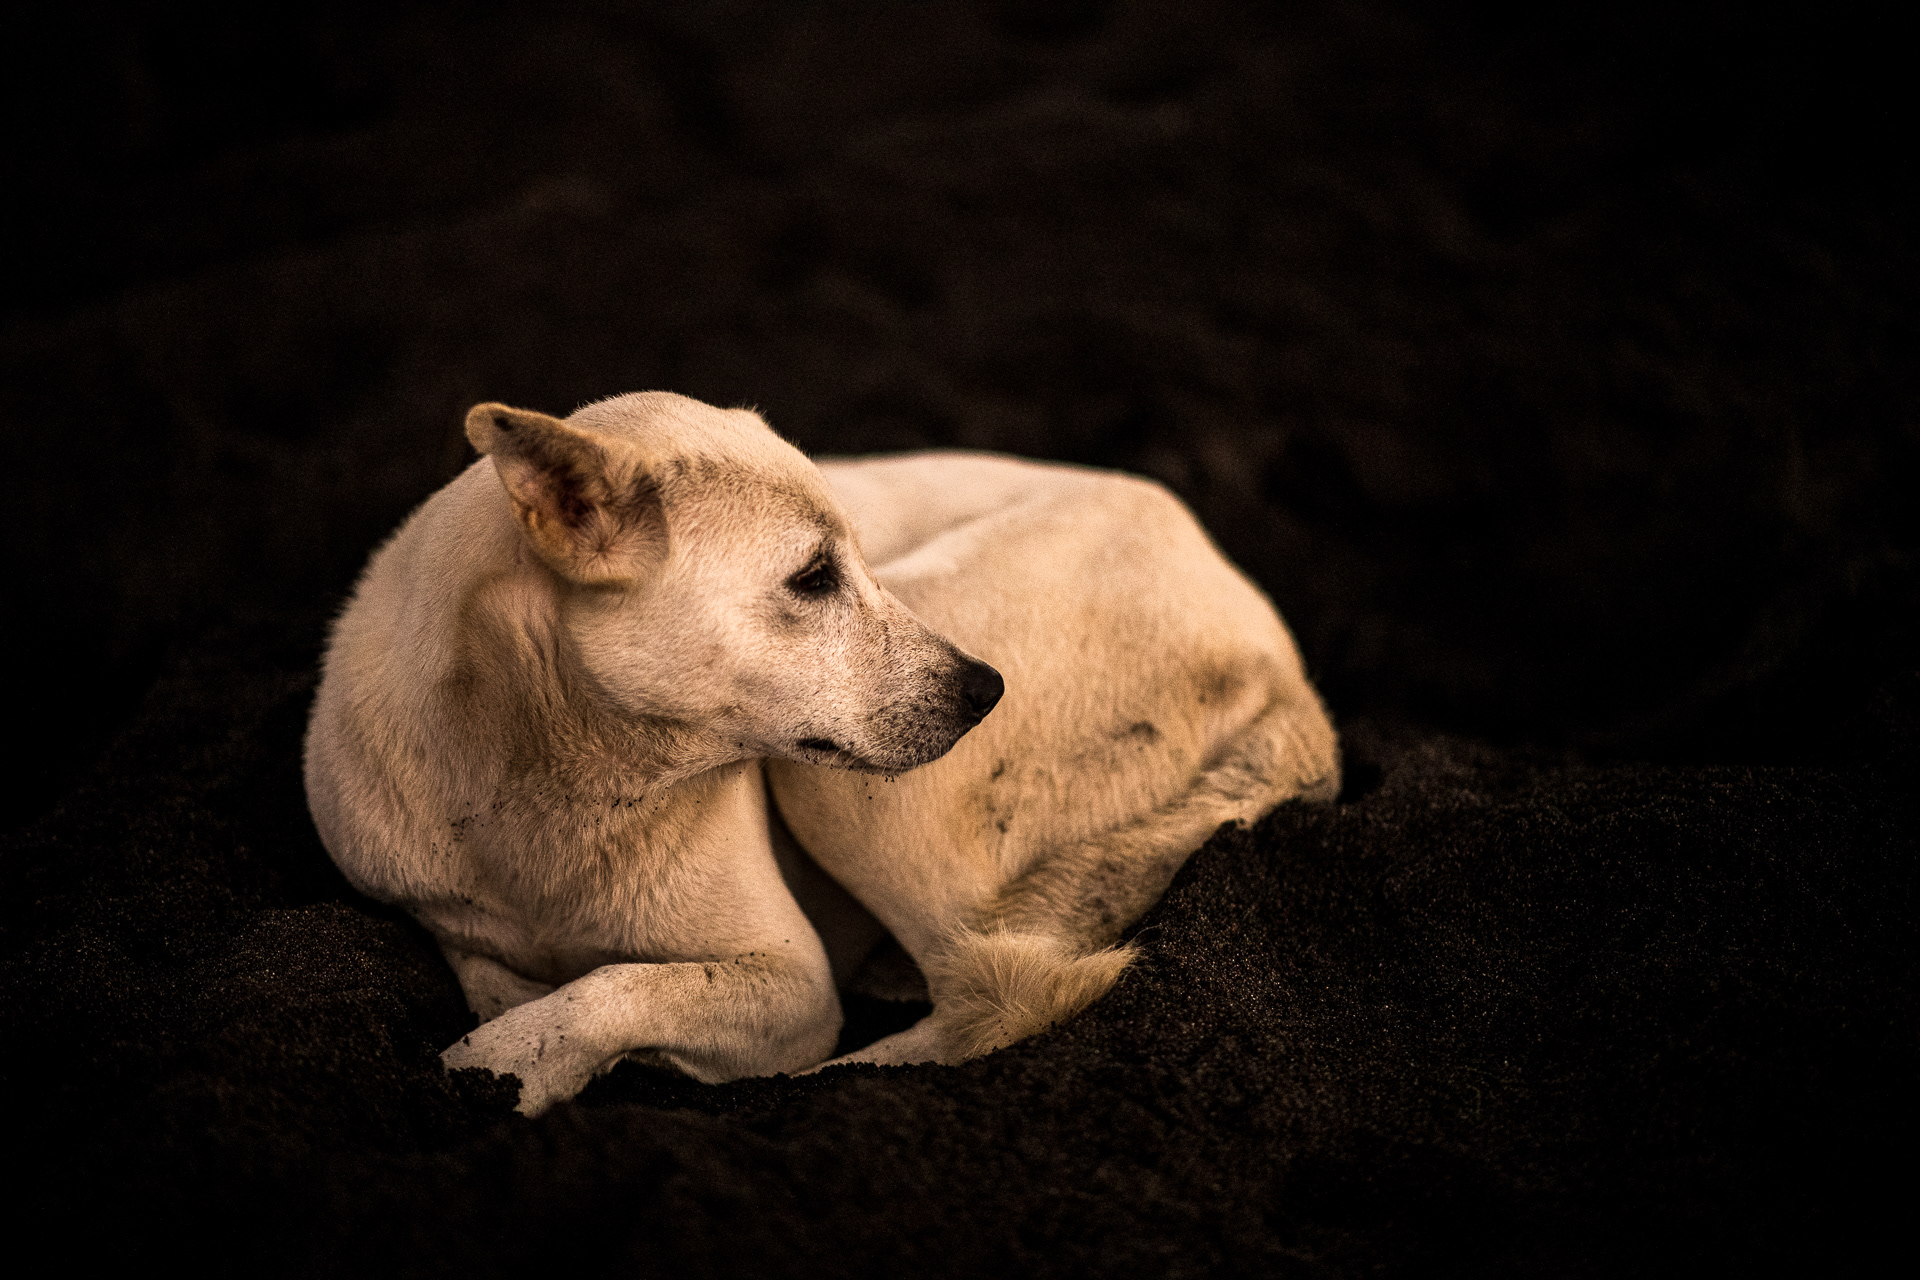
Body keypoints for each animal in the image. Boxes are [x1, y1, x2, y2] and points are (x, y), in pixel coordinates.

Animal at [304, 392, 1336, 1113]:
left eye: (860, 562)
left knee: (995, 998)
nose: (987, 692)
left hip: (841, 790)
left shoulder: (791, 983)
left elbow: (612, 988)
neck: (556, 773)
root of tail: (1293, 681)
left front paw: (502, 1069)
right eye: (813, 578)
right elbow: (498, 973)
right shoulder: (434, 907)